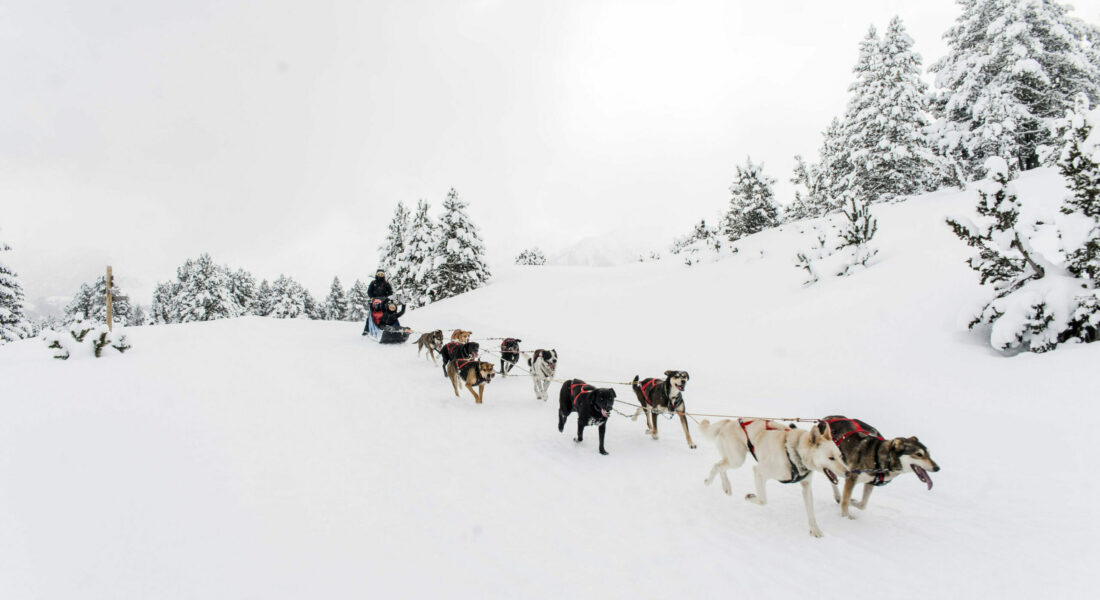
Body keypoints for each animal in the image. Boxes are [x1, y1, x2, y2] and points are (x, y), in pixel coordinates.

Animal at [704, 416, 849, 537]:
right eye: (831, 458)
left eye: (840, 456)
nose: (848, 472)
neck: (794, 453)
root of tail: (729, 422)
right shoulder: (759, 471)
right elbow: (762, 500)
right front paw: (750, 497)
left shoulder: (806, 486)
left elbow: (811, 512)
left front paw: (815, 530)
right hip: (737, 460)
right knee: (717, 466)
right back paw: (711, 481)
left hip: (735, 460)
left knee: (721, 466)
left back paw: (726, 487)